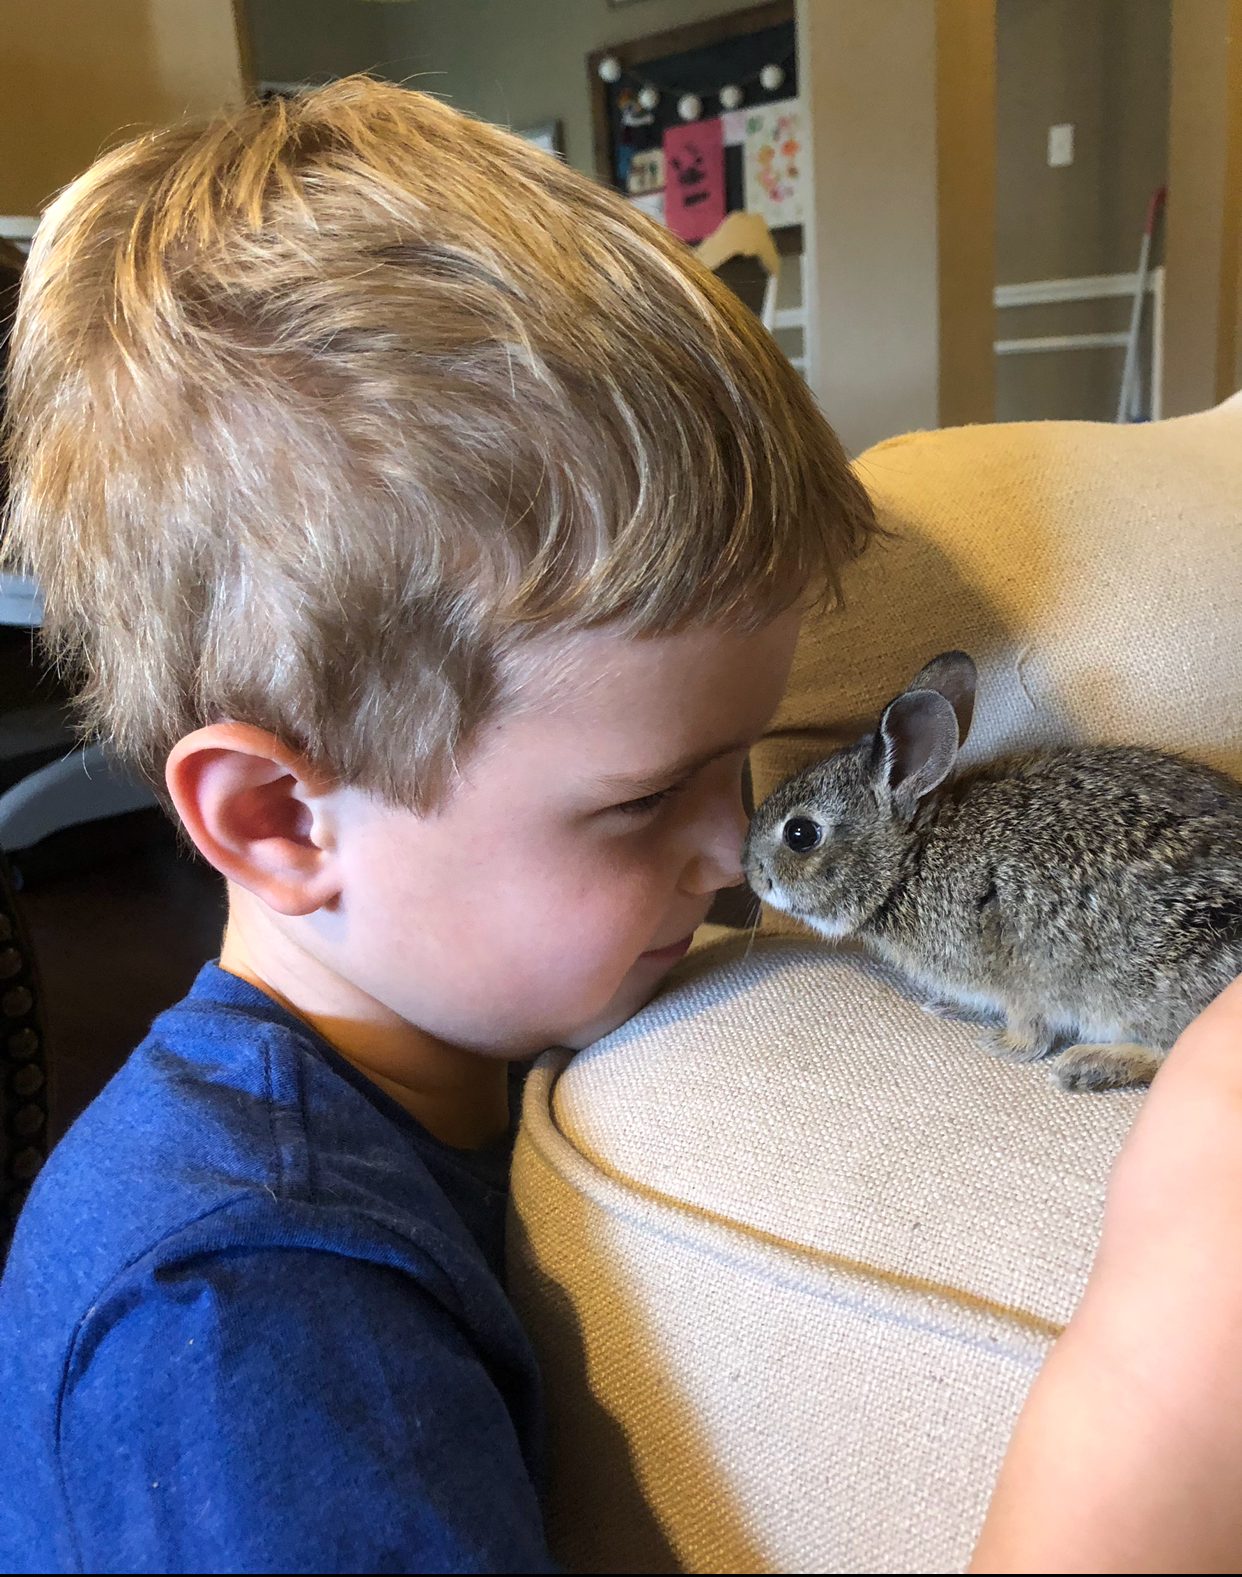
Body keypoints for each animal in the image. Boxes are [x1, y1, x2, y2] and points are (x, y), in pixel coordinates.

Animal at [743, 651, 1242, 1092]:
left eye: (801, 833)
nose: (750, 873)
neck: (910, 861)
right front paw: (951, 1007)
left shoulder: (1024, 972)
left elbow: (1030, 1026)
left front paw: (1005, 1045)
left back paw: (1087, 1066)